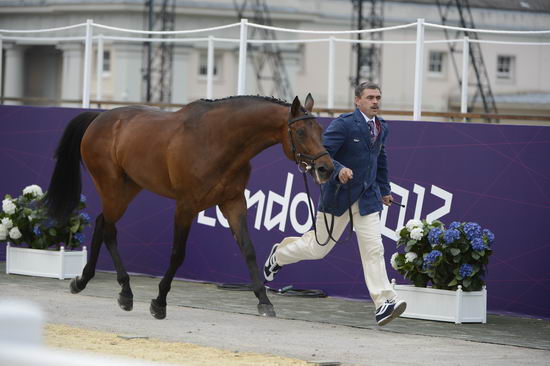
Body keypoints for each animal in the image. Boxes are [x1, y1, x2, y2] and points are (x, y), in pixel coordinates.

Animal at [44, 93, 332, 318]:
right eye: (300, 132)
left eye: (320, 131)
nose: (325, 168)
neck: (217, 140)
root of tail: (98, 119)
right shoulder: (185, 206)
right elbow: (177, 254)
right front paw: (159, 303)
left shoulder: (233, 202)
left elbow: (248, 250)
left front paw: (264, 301)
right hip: (111, 187)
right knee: (109, 229)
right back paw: (123, 290)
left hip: (128, 188)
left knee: (103, 223)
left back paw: (86, 282)